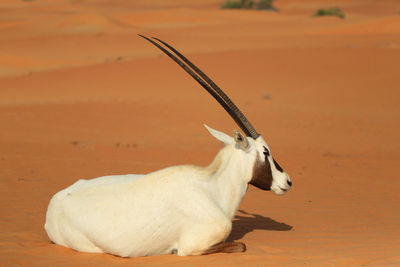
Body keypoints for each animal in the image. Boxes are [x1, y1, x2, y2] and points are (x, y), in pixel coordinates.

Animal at [43, 35, 292, 258]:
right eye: (266, 151)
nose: (287, 181)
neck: (212, 188)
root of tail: (53, 206)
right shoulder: (192, 247)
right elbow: (240, 246)